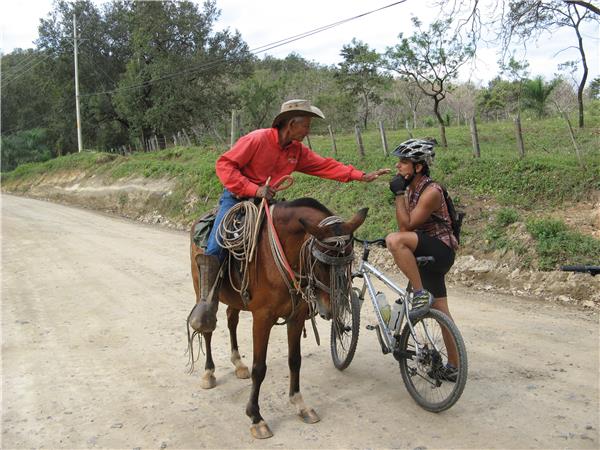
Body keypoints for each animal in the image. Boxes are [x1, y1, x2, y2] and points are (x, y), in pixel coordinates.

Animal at [189, 197, 366, 436]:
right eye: (320, 263)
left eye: (349, 262)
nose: (332, 309)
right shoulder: (262, 319)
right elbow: (259, 368)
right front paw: (256, 417)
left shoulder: (296, 317)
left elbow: (295, 360)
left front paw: (300, 404)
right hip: (202, 288)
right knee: (207, 327)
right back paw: (209, 373)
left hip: (236, 299)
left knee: (231, 320)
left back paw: (238, 363)